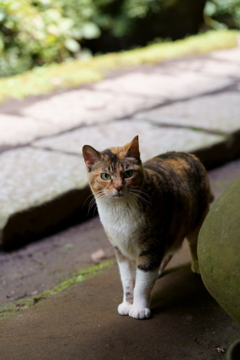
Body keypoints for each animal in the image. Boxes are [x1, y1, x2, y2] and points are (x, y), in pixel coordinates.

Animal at [81, 136, 213, 320]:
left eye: (128, 173)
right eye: (105, 176)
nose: (119, 187)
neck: (120, 211)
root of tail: (187, 154)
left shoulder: (151, 245)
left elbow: (143, 282)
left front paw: (138, 307)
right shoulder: (120, 250)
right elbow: (127, 280)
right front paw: (128, 303)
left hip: (197, 218)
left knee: (194, 242)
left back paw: (196, 264)